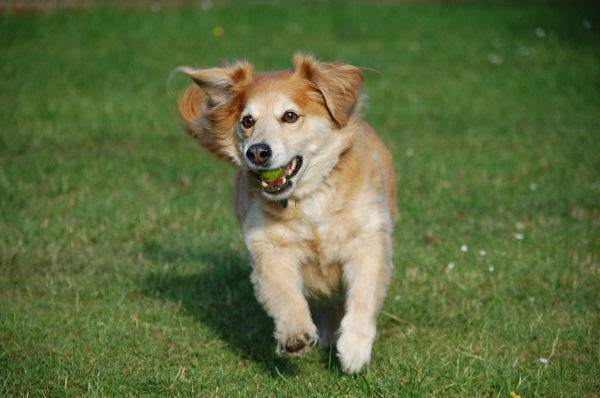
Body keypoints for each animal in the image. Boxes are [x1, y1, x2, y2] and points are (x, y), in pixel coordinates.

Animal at [176, 53, 396, 374]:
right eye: (247, 121)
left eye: (290, 116)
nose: (257, 152)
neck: (309, 198)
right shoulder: (268, 246)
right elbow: (284, 293)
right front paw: (295, 334)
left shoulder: (368, 238)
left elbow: (364, 294)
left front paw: (354, 348)